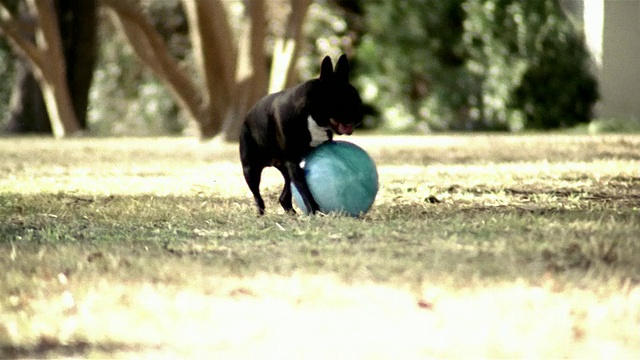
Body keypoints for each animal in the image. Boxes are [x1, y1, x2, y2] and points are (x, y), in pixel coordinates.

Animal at [240, 54, 362, 214]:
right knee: (257, 195)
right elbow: (306, 191)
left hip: (284, 168)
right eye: (342, 100)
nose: (361, 115)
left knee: (285, 194)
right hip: (250, 169)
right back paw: (261, 213)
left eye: (357, 98)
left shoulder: (297, 162)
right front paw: (315, 212)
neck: (312, 116)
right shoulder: (293, 163)